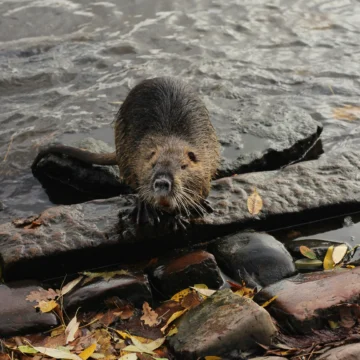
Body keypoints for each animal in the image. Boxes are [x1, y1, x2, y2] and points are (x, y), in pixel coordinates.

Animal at [32, 77, 219, 229]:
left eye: (183, 166)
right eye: (153, 165)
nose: (162, 182)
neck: (171, 139)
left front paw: (194, 208)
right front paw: (166, 216)